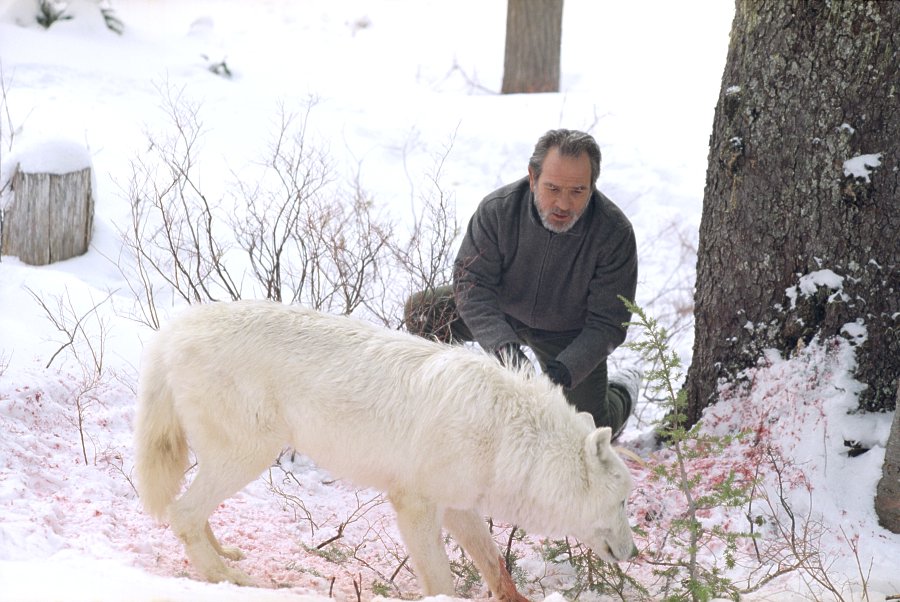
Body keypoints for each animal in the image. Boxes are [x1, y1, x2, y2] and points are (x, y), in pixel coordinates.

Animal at [134, 302, 636, 596]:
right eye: (622, 502)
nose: (632, 553)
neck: (508, 437)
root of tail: (171, 330)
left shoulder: (459, 507)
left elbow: (496, 565)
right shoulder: (415, 506)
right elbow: (442, 581)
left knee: (192, 511)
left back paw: (226, 555)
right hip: (250, 455)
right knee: (182, 513)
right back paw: (228, 579)